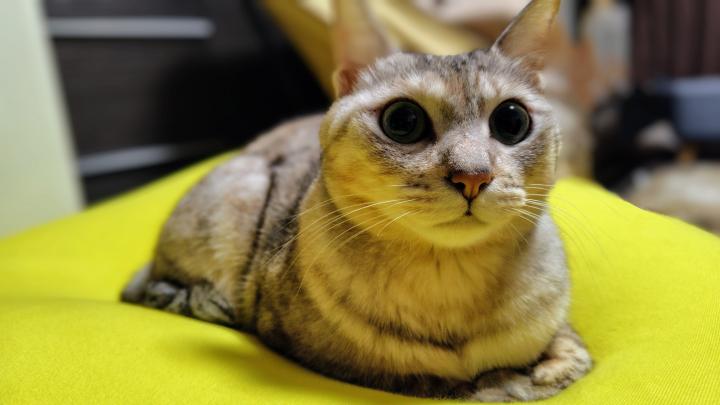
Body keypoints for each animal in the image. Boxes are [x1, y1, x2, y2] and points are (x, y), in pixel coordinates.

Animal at [122, 0, 592, 401]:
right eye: (403, 120)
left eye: (512, 121)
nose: (473, 177)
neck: (451, 281)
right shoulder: (315, 349)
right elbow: (425, 377)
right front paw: (497, 382)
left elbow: (569, 356)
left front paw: (534, 371)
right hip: (239, 197)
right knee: (161, 288)